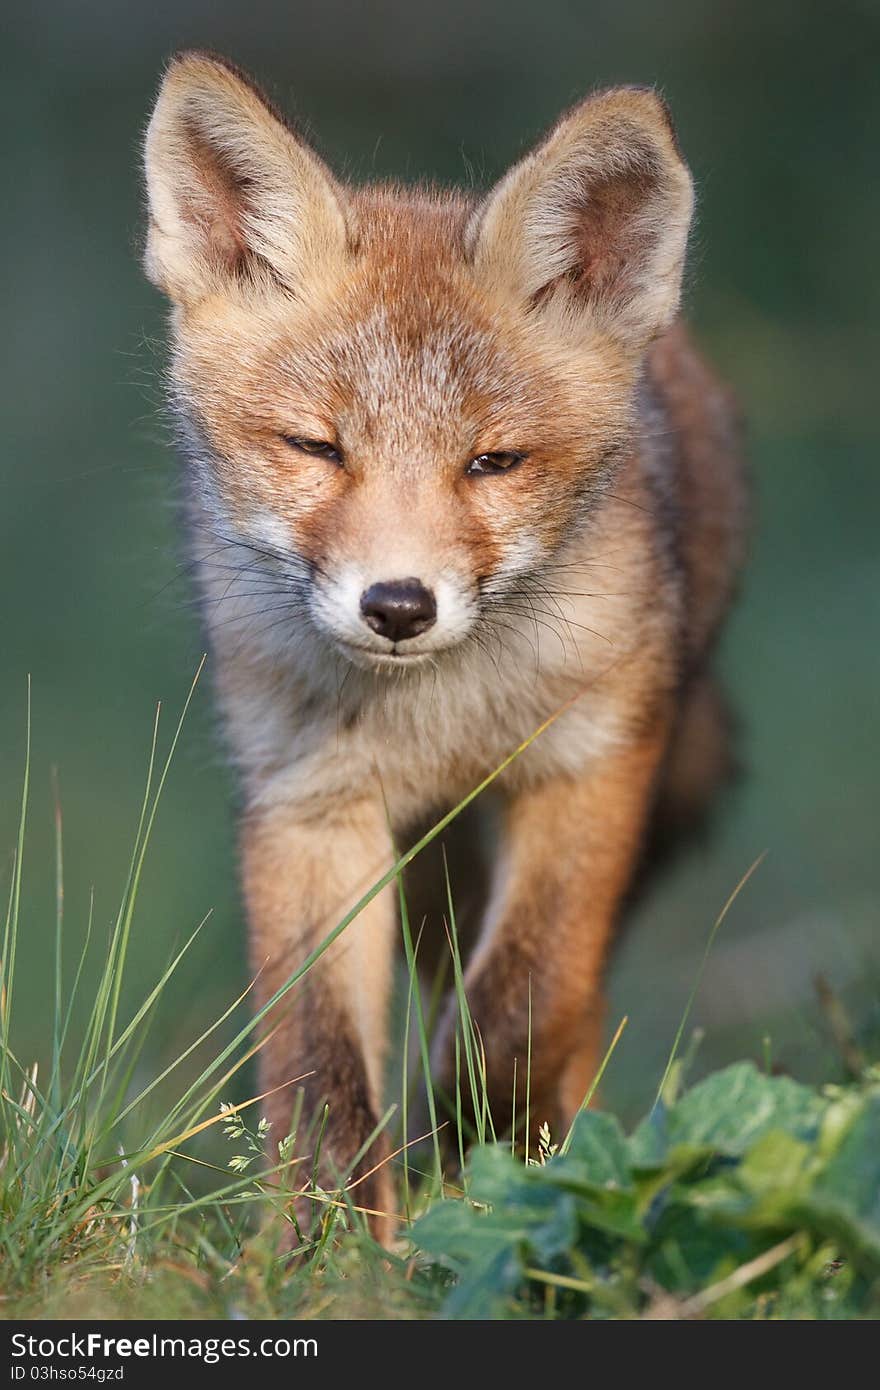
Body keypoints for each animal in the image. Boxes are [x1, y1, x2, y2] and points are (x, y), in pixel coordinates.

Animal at [142, 48, 739, 1245]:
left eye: (493, 462)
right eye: (316, 448)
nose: (398, 605)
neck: (441, 721)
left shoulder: (585, 768)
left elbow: (518, 1008)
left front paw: (486, 1162)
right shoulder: (307, 805)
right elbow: (319, 1067)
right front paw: (326, 1248)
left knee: (573, 1004)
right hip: (427, 879)